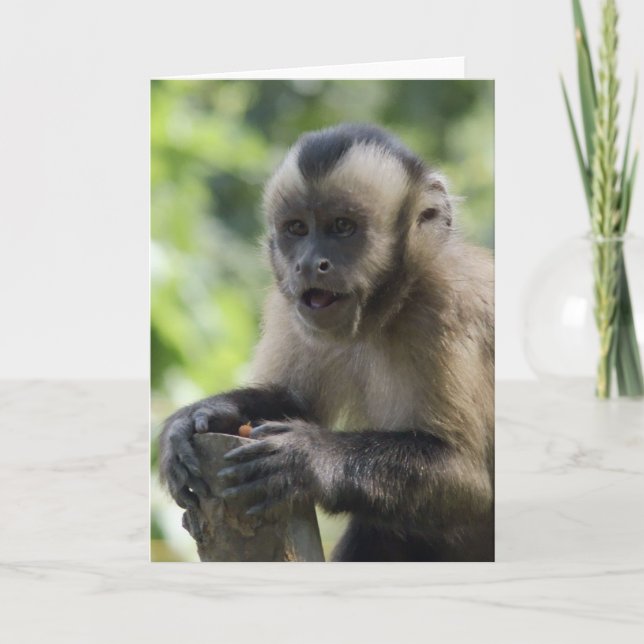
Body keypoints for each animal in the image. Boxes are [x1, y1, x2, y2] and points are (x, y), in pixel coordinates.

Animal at [159, 123, 494, 562]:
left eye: (341, 227)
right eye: (298, 229)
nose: (308, 264)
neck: (386, 309)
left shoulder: (445, 307)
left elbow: (469, 482)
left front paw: (308, 459)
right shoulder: (289, 306)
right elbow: (296, 401)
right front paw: (207, 414)